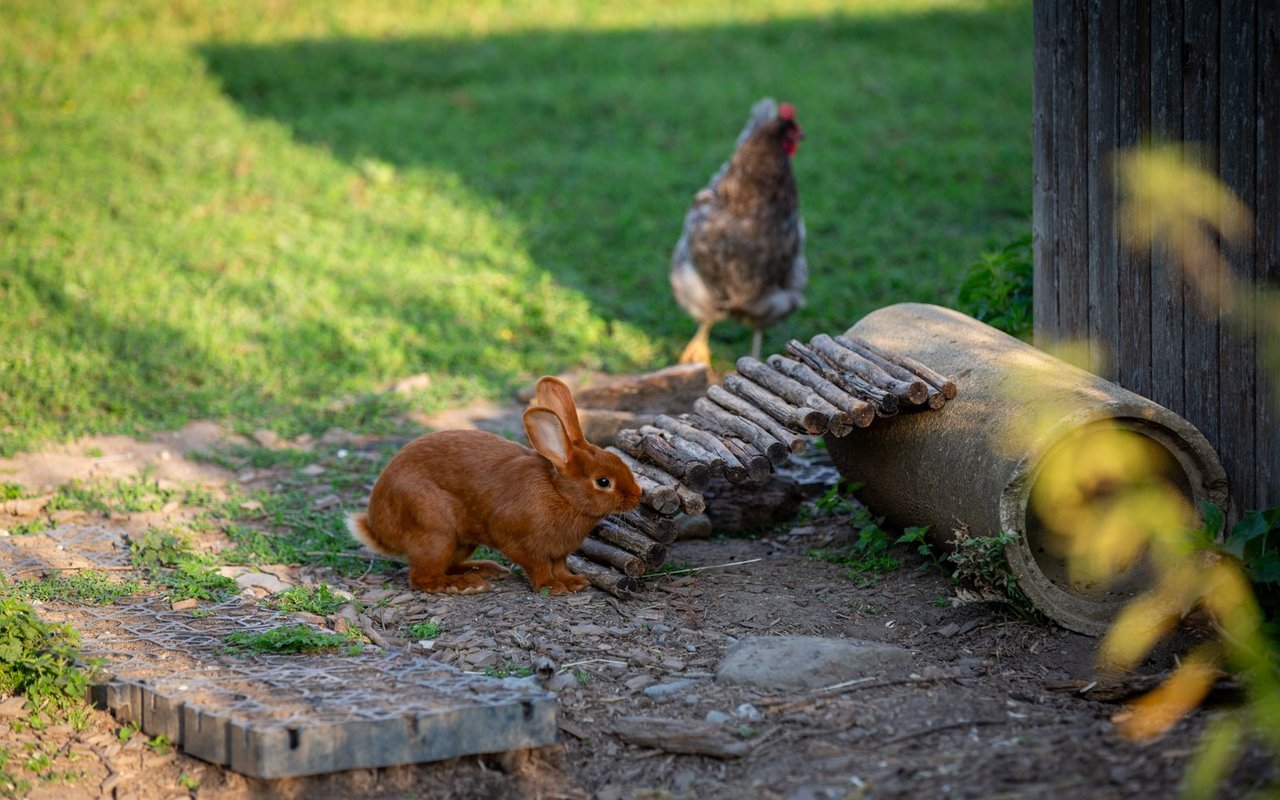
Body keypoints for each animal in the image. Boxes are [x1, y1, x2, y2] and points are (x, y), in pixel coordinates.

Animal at [348, 376, 640, 593]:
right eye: (603, 482)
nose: (637, 495)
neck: (560, 494)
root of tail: (379, 528)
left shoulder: (559, 552)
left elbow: (559, 565)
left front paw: (573, 582)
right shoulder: (516, 541)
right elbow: (538, 566)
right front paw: (552, 587)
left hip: (460, 543)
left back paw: (487, 570)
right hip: (434, 532)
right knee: (422, 577)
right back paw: (462, 585)